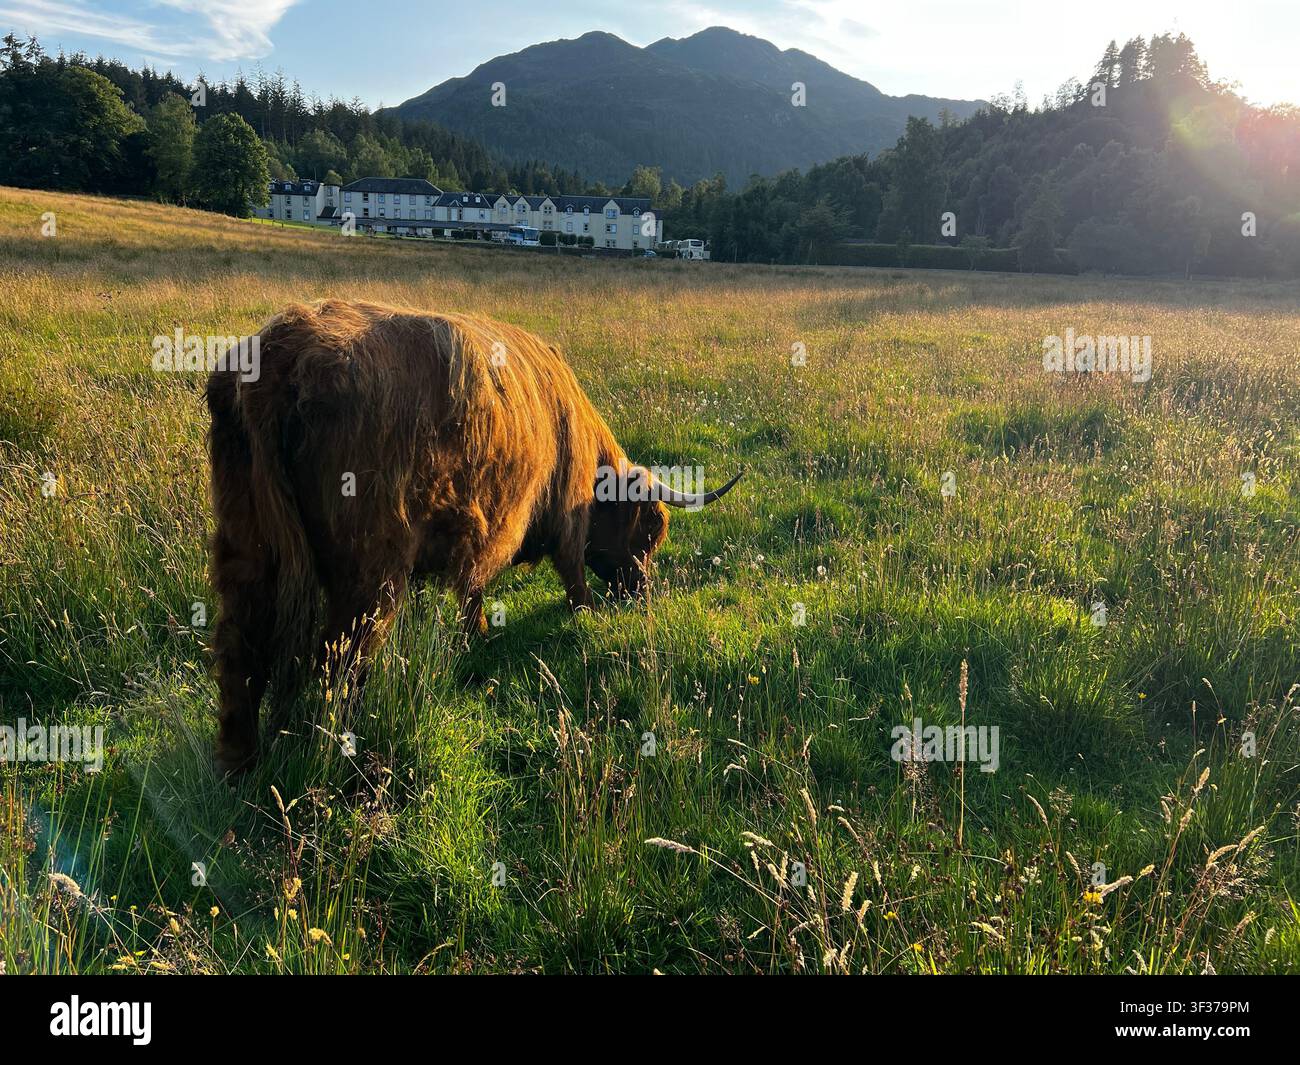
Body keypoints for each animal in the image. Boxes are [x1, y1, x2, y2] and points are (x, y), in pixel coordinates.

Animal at [206, 299, 741, 774]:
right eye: (650, 529)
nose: (641, 594)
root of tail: (284, 349)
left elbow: (471, 589)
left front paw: (473, 632)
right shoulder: (560, 512)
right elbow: (565, 571)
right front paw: (579, 612)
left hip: (247, 547)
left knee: (240, 651)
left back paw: (239, 766)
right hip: (369, 571)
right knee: (339, 659)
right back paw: (337, 747)